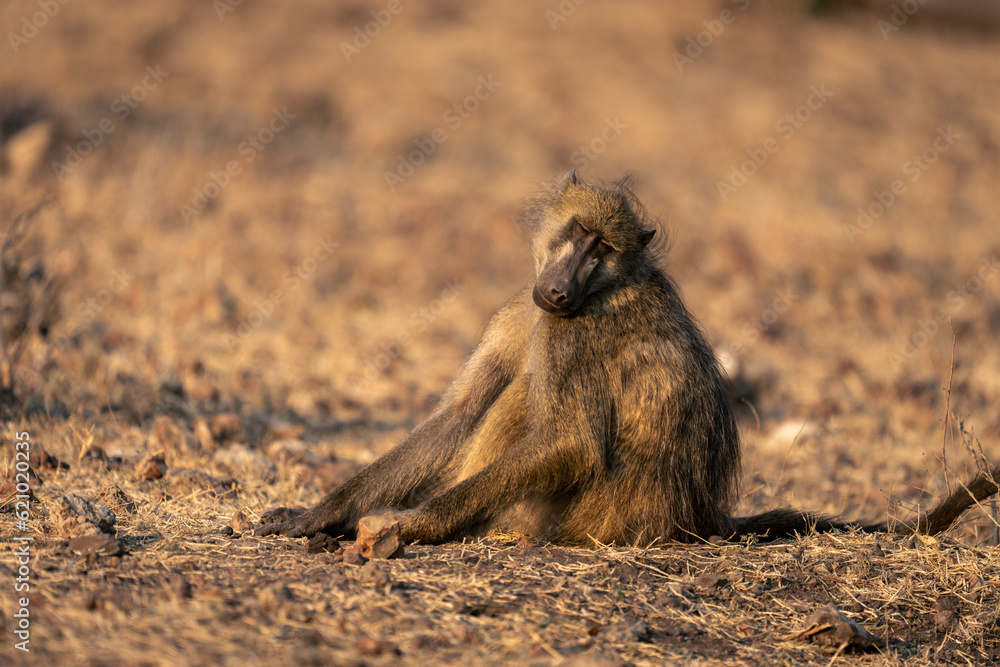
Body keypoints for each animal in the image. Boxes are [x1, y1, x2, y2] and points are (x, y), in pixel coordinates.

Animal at [257, 170, 1000, 546]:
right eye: (577, 233)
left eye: (603, 249)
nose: (560, 287)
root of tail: (694, 516)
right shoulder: (524, 308)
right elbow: (460, 412)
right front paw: (322, 513)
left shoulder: (573, 331)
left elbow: (574, 441)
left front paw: (410, 523)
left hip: (598, 516)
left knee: (531, 406)